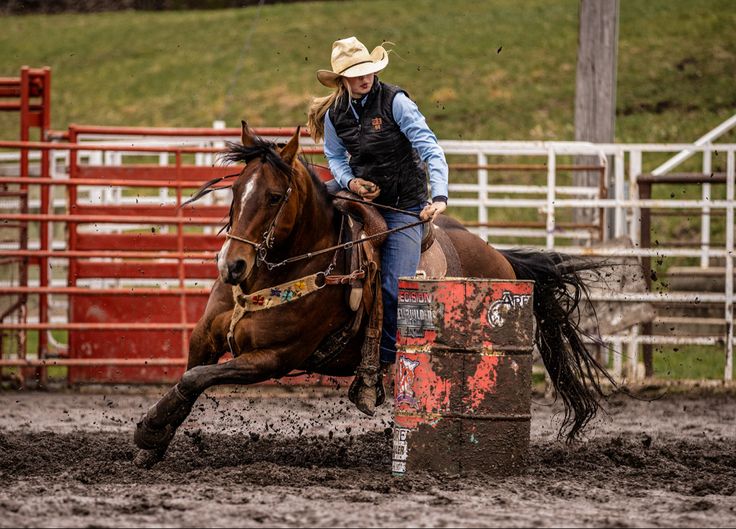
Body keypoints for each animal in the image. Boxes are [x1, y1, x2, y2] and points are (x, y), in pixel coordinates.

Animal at [132, 122, 608, 466]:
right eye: (234, 190)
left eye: (274, 197)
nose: (232, 265)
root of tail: (500, 258)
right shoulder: (205, 337)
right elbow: (188, 380)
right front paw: (156, 443)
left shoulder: (273, 358)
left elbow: (195, 379)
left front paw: (148, 431)